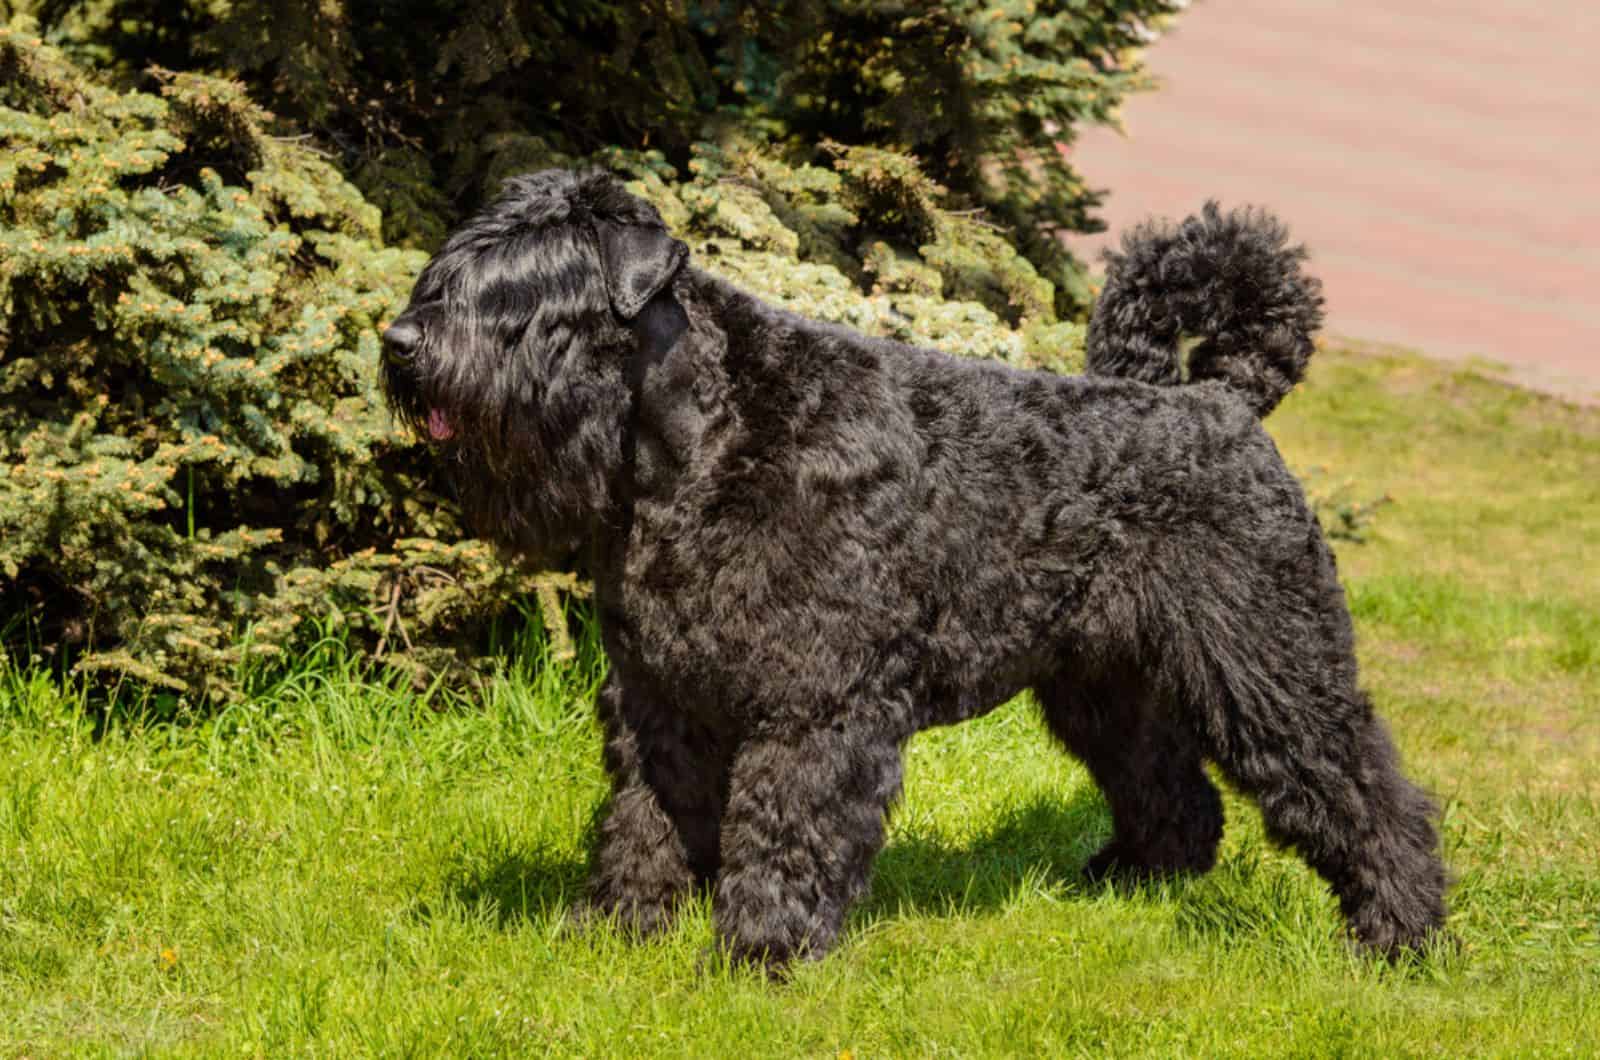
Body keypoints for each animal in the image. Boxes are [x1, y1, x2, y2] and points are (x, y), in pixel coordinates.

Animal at [384, 166, 1452, 973]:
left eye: (528, 293)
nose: (400, 342)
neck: (704, 438)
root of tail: (1223, 399)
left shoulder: (813, 703)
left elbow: (785, 828)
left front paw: (760, 958)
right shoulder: (659, 695)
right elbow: (646, 818)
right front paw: (615, 930)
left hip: (1268, 660)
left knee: (1362, 783)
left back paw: (1399, 934)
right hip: (1102, 684)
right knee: (1169, 784)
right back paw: (1133, 881)